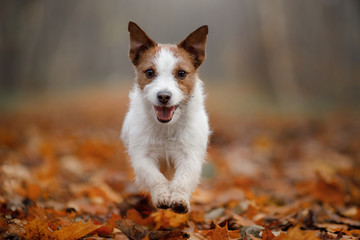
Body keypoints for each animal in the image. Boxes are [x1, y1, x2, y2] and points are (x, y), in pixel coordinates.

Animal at [121, 21, 211, 213]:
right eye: (149, 72)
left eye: (181, 73)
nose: (163, 96)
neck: (166, 128)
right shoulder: (143, 157)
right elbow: (154, 177)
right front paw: (162, 195)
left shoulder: (189, 156)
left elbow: (184, 178)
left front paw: (179, 199)